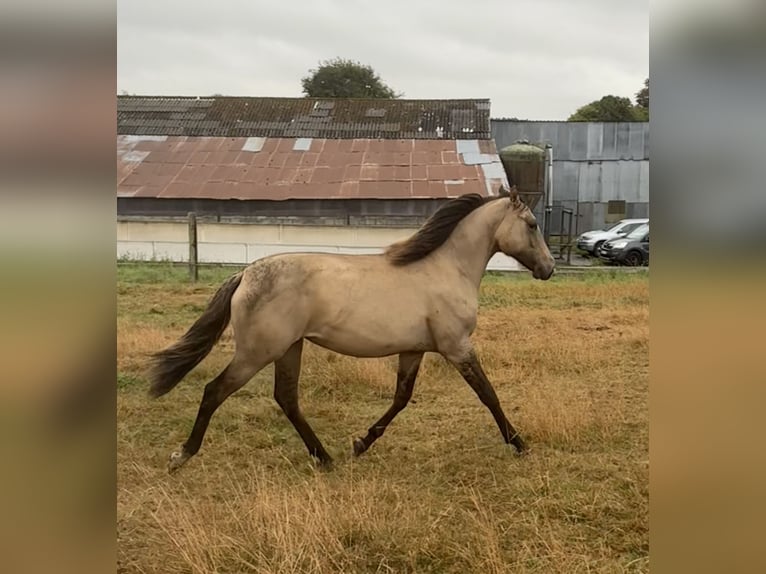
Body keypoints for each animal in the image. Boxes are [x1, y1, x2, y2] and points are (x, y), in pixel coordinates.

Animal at [147, 187, 555, 473]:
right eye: (532, 225)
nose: (549, 268)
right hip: (257, 352)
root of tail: (245, 274)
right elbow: (488, 394)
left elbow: (401, 398)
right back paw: (181, 455)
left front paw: (361, 443)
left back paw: (325, 457)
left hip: (289, 348)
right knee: (215, 391)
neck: (447, 269)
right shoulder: (456, 345)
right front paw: (520, 443)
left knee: (286, 398)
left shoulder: (415, 349)